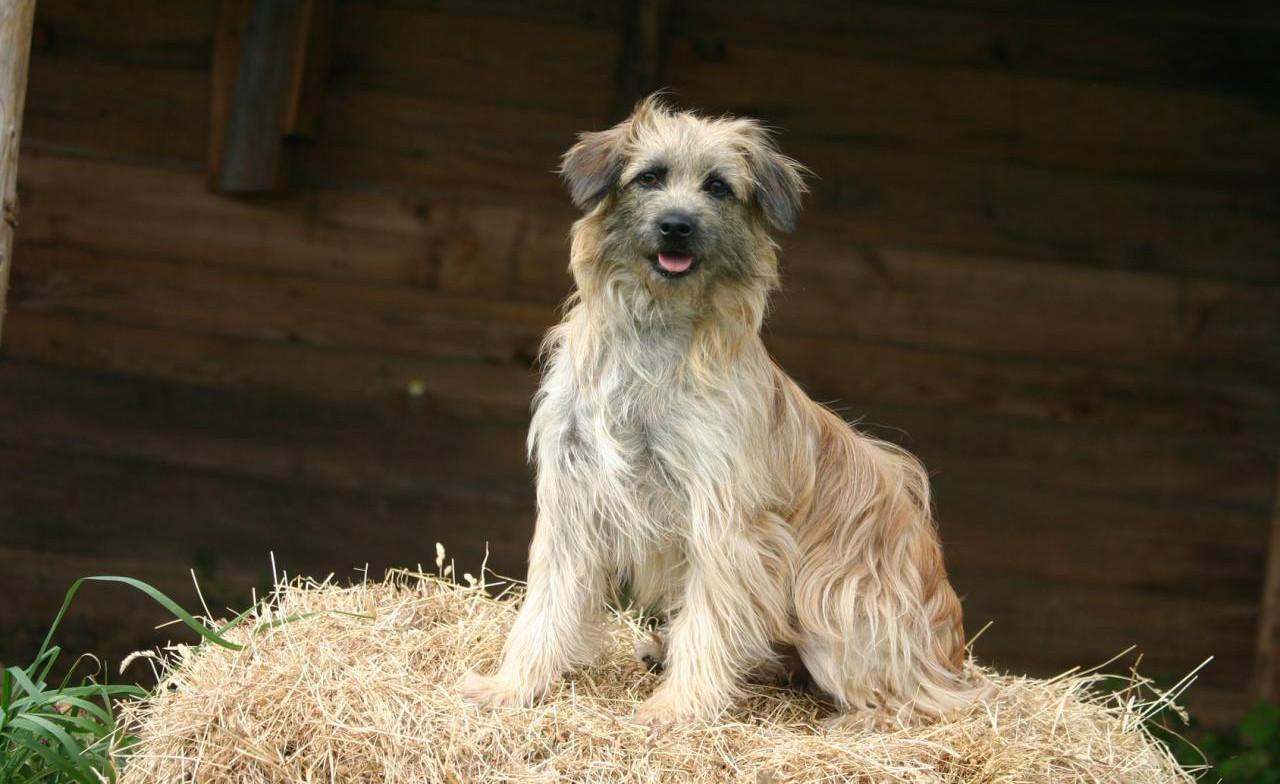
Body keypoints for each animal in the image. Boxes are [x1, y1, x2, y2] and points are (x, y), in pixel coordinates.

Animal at [458, 98, 967, 727]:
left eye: (719, 187)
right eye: (649, 177)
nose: (678, 224)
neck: (655, 332)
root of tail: (952, 656)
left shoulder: (727, 519)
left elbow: (711, 618)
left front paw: (677, 707)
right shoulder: (573, 496)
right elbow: (547, 603)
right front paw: (512, 685)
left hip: (835, 602)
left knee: (916, 700)